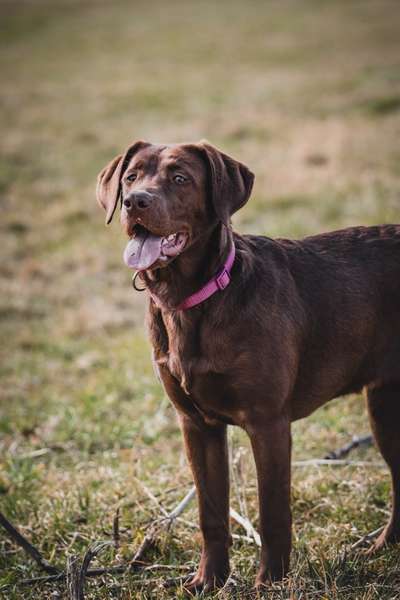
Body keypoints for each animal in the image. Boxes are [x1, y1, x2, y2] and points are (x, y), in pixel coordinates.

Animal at [97, 141, 400, 592]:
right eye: (131, 177)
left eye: (180, 178)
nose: (135, 201)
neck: (192, 300)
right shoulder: (197, 425)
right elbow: (210, 514)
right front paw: (209, 580)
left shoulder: (268, 422)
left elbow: (273, 514)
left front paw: (270, 583)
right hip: (384, 405)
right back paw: (382, 548)